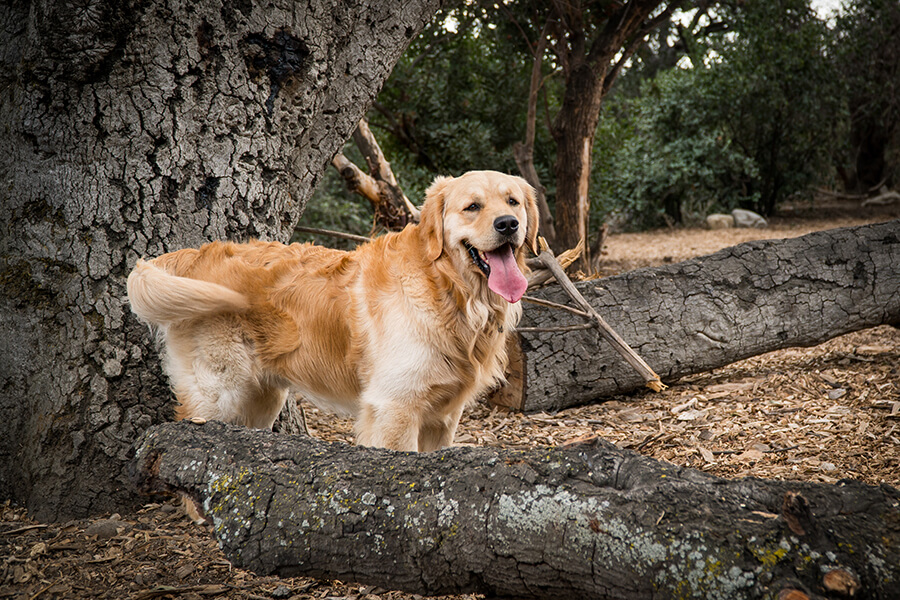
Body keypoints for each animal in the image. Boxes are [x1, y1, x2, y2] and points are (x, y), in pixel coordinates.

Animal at [126, 171, 536, 452]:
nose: (508, 224)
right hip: (218, 390)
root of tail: (196, 255)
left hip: (262, 397)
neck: (449, 289)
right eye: (472, 207)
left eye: (512, 201)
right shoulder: (395, 406)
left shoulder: (443, 416)